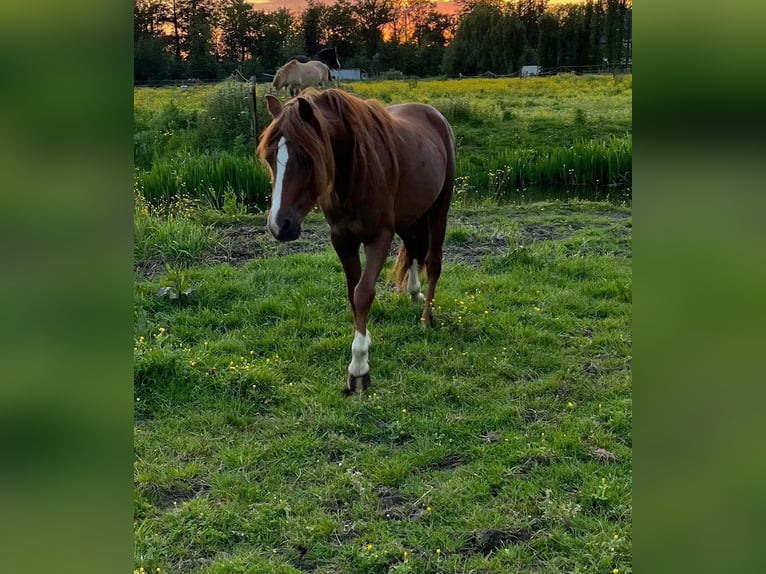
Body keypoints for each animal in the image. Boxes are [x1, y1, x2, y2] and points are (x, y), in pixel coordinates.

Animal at [258, 90, 456, 394]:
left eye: (306, 158)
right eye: (269, 158)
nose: (280, 225)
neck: (353, 171)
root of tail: (434, 115)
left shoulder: (379, 237)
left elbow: (364, 293)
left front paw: (359, 368)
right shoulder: (342, 238)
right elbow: (353, 293)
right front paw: (363, 342)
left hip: (439, 208)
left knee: (433, 262)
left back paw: (426, 318)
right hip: (409, 215)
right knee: (413, 248)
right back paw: (413, 292)